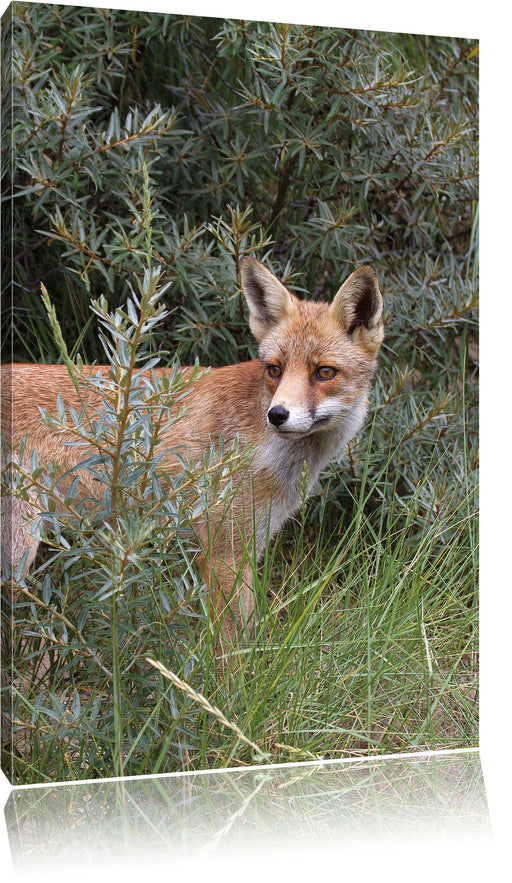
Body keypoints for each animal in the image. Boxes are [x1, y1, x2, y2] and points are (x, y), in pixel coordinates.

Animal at [1, 258, 384, 644]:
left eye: (324, 372)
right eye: (275, 369)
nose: (277, 414)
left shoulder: (249, 546)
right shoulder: (223, 552)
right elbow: (228, 648)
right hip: (19, 552)